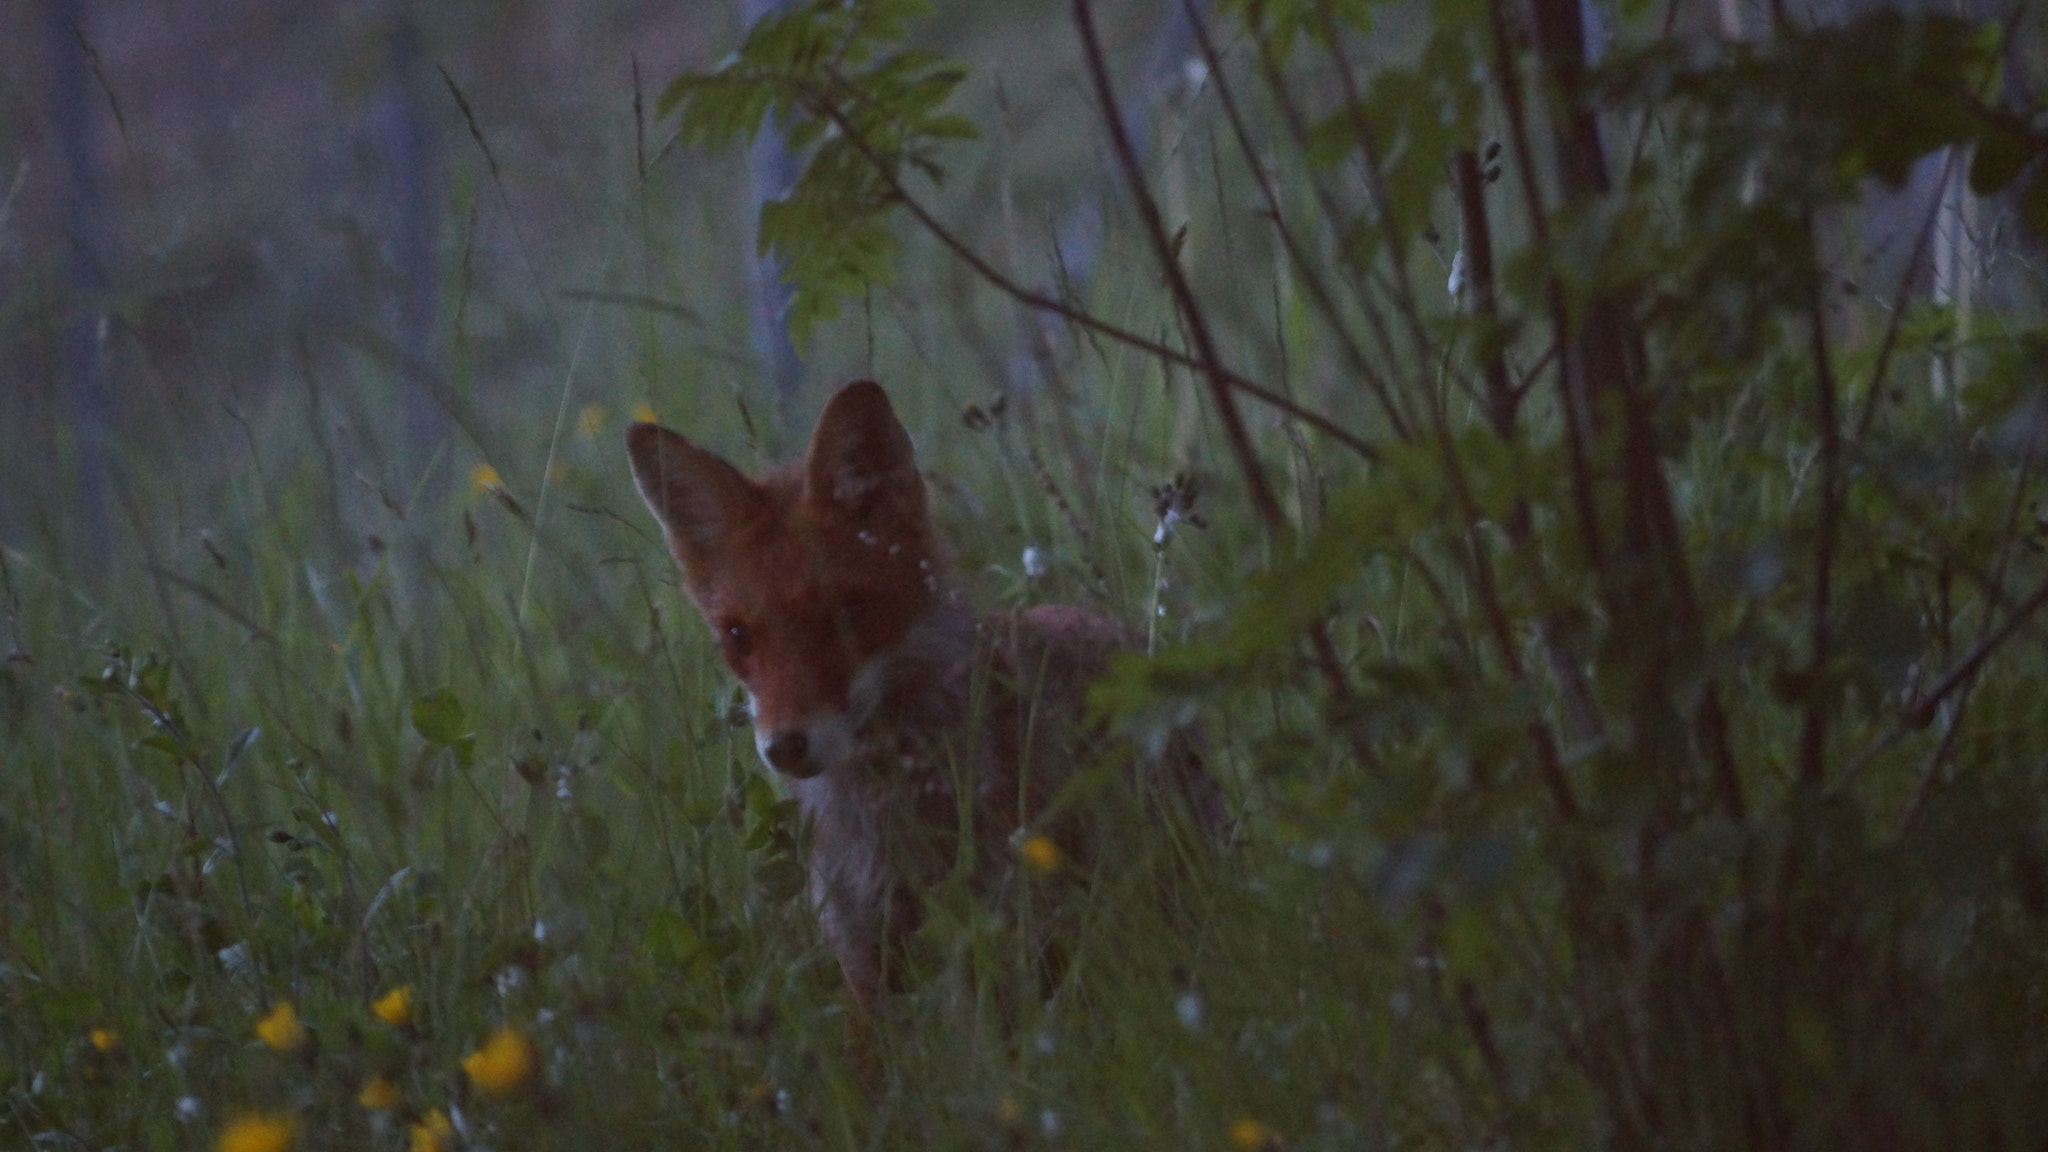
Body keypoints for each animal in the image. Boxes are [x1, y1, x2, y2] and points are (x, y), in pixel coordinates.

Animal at [625, 379, 1223, 1034]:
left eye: (843, 613)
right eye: (738, 636)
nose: (784, 746)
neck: (886, 816)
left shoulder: (994, 927)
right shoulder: (863, 954)